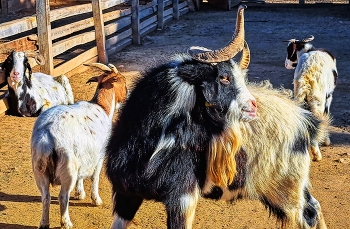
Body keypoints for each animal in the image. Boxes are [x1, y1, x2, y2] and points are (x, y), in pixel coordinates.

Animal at [31, 63, 127, 229]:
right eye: (123, 81)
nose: (126, 96)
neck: (102, 107)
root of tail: (47, 137)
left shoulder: (84, 156)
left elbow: (81, 176)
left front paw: (79, 193)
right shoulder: (99, 156)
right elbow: (95, 177)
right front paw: (96, 200)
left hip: (39, 168)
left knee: (46, 196)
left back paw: (44, 223)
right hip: (68, 168)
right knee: (62, 196)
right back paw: (66, 222)